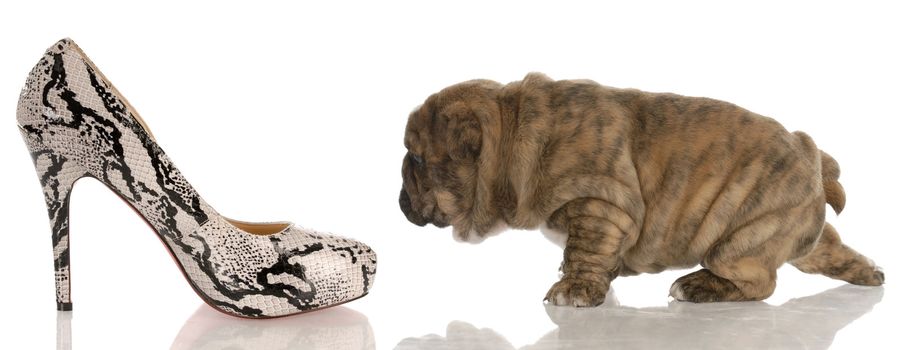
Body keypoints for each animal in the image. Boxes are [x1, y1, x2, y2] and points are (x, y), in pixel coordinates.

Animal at [400, 73, 888, 306]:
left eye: (418, 160)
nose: (400, 197)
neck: (516, 126)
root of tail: (811, 155)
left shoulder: (599, 206)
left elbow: (585, 251)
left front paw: (574, 289)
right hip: (791, 230)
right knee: (828, 250)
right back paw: (872, 274)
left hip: (744, 236)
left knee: (758, 281)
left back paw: (699, 286)